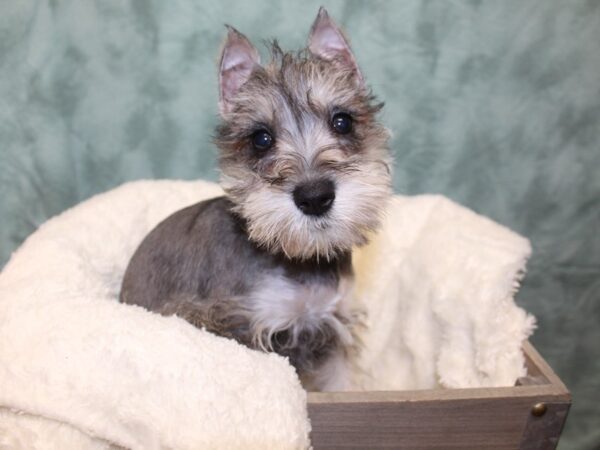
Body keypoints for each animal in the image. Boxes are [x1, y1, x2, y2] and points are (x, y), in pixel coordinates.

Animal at [119, 7, 392, 394]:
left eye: (342, 121)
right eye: (261, 139)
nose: (315, 197)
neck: (298, 260)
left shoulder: (331, 326)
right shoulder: (240, 324)